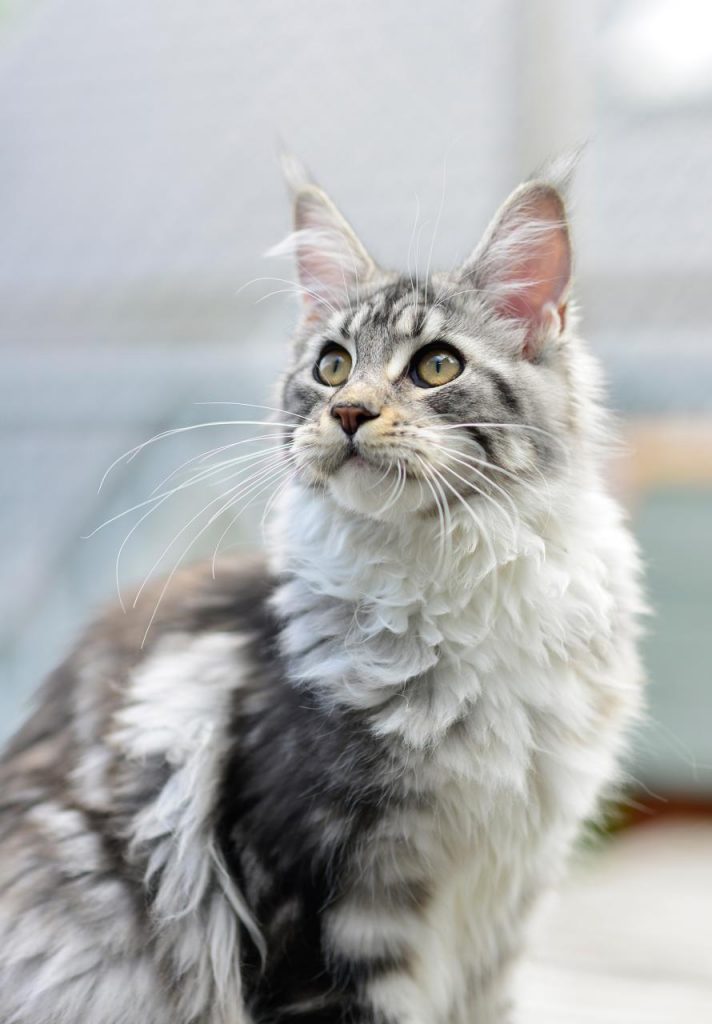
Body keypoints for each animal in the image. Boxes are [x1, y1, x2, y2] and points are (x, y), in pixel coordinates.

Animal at [0, 163, 647, 1019]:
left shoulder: (506, 905)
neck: (450, 581)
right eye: (331, 365)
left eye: (437, 365)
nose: (347, 412)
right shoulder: (319, 899)